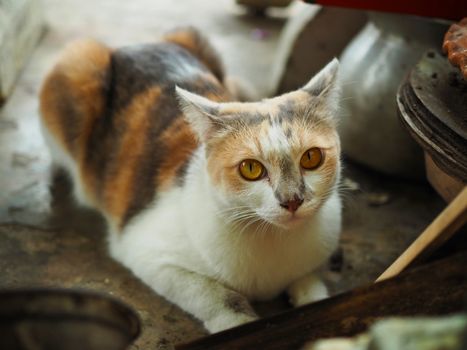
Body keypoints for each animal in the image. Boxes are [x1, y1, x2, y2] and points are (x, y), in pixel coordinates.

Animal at [38, 28, 342, 334]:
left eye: (311, 157)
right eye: (251, 169)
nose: (292, 200)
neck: (272, 238)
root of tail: (135, 45)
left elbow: (312, 285)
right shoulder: (147, 251)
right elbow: (215, 294)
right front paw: (240, 321)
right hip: (77, 70)